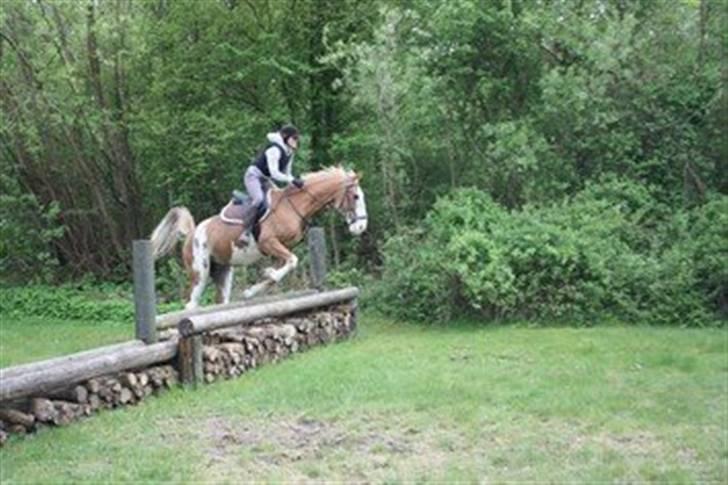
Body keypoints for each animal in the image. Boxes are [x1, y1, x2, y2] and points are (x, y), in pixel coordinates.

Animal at [149, 166, 366, 310]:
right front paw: (268, 275)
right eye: (356, 196)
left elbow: (284, 268)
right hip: (199, 272)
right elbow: (291, 262)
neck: (293, 206)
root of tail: (193, 232)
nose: (361, 227)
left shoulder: (281, 249)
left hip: (223, 270)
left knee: (221, 300)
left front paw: (255, 287)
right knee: (191, 305)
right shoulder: (268, 243)